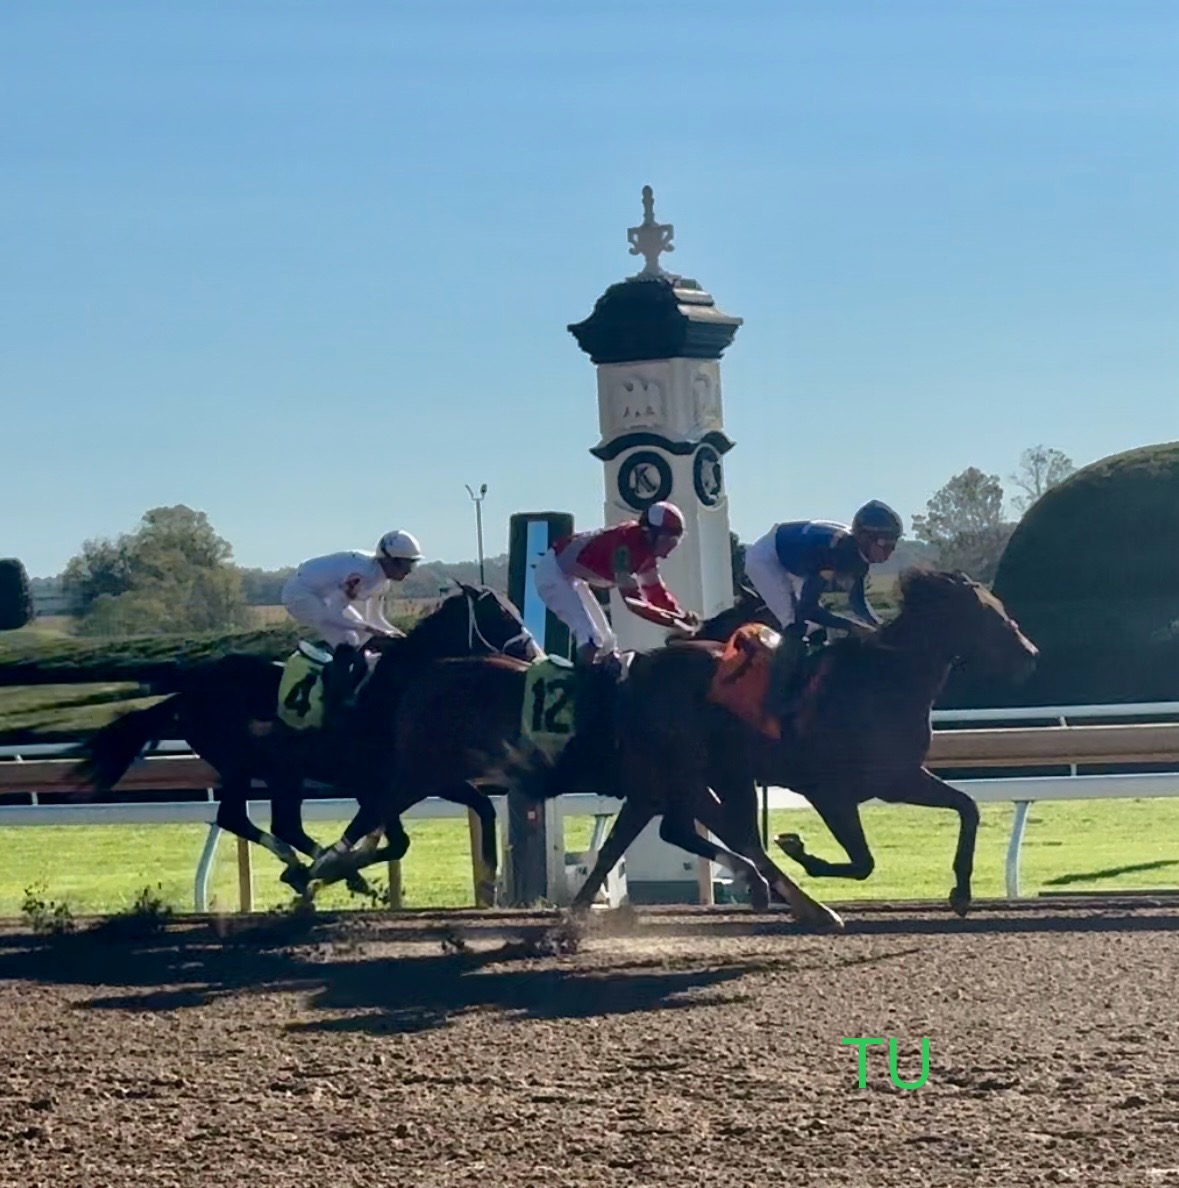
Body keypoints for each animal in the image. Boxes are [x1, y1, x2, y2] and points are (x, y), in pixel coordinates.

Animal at [68, 579, 539, 893]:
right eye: (504, 614)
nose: (533, 653)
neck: (397, 688)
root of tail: (188, 693)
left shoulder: (428, 777)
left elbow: (482, 808)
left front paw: (490, 877)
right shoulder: (379, 782)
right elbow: (399, 840)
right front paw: (340, 867)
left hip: (280, 772)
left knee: (277, 823)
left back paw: (311, 869)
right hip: (247, 765)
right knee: (240, 818)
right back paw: (311, 869)